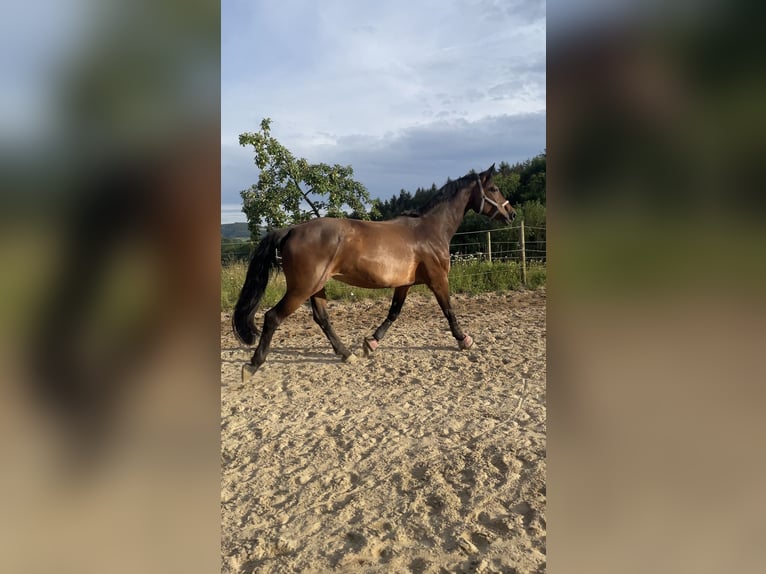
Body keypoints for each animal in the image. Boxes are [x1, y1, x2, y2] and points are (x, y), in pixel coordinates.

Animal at [231, 165, 512, 382]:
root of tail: (291, 230)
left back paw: (347, 354)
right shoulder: (438, 279)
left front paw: (371, 343)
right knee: (272, 317)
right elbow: (449, 310)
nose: (512, 213)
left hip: (316, 287)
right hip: (301, 288)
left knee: (322, 318)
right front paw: (465, 340)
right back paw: (252, 365)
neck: (430, 230)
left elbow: (393, 313)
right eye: (494, 189)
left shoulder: (405, 283)